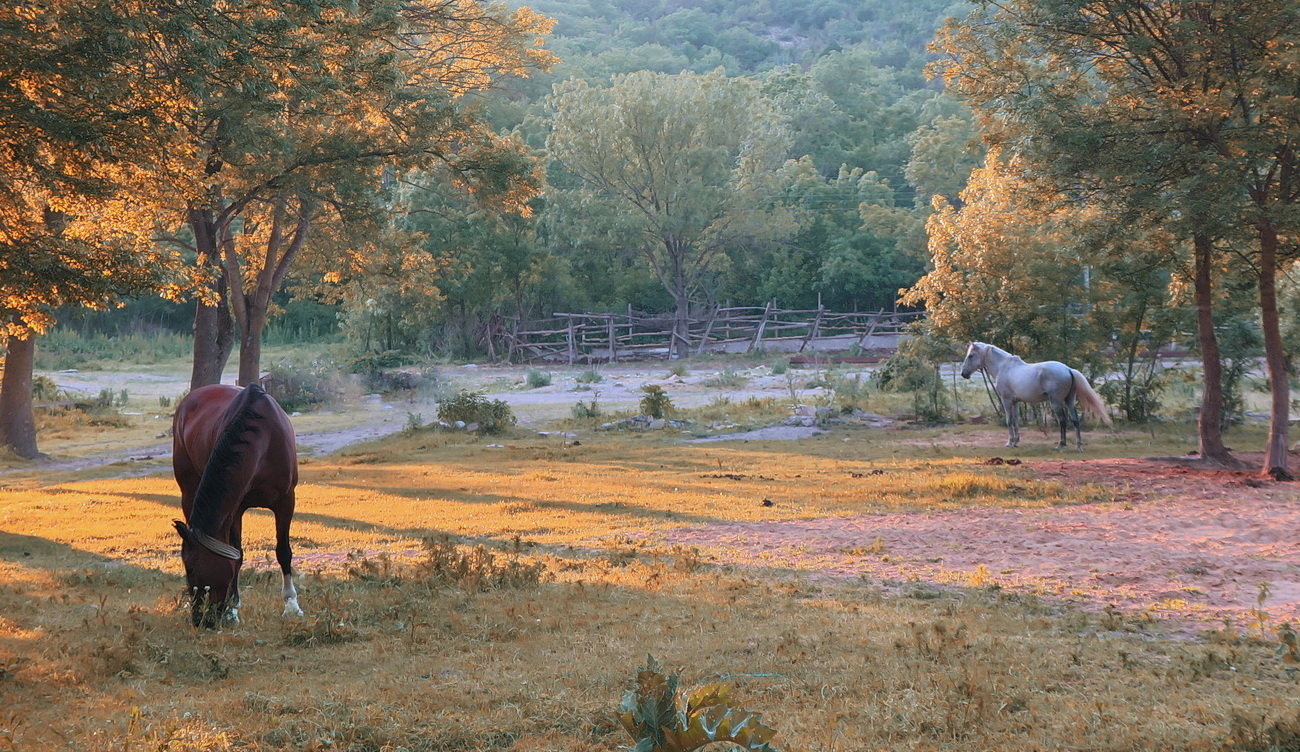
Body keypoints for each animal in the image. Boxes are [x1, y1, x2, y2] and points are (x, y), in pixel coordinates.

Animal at [172, 382, 301, 624]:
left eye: (191, 568)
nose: (200, 619)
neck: (264, 441)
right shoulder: (235, 508)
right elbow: (237, 554)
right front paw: (233, 609)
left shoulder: (286, 500)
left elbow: (283, 551)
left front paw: (291, 605)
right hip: (188, 488)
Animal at [961, 340, 1112, 450]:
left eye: (970, 356)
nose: (963, 374)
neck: (1003, 367)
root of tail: (1068, 369)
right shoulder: (1016, 402)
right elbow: (1015, 421)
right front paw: (1016, 442)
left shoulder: (1006, 400)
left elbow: (1009, 421)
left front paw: (1009, 443)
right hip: (1069, 401)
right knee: (1075, 420)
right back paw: (1078, 446)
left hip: (1056, 402)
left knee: (1063, 421)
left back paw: (1061, 445)